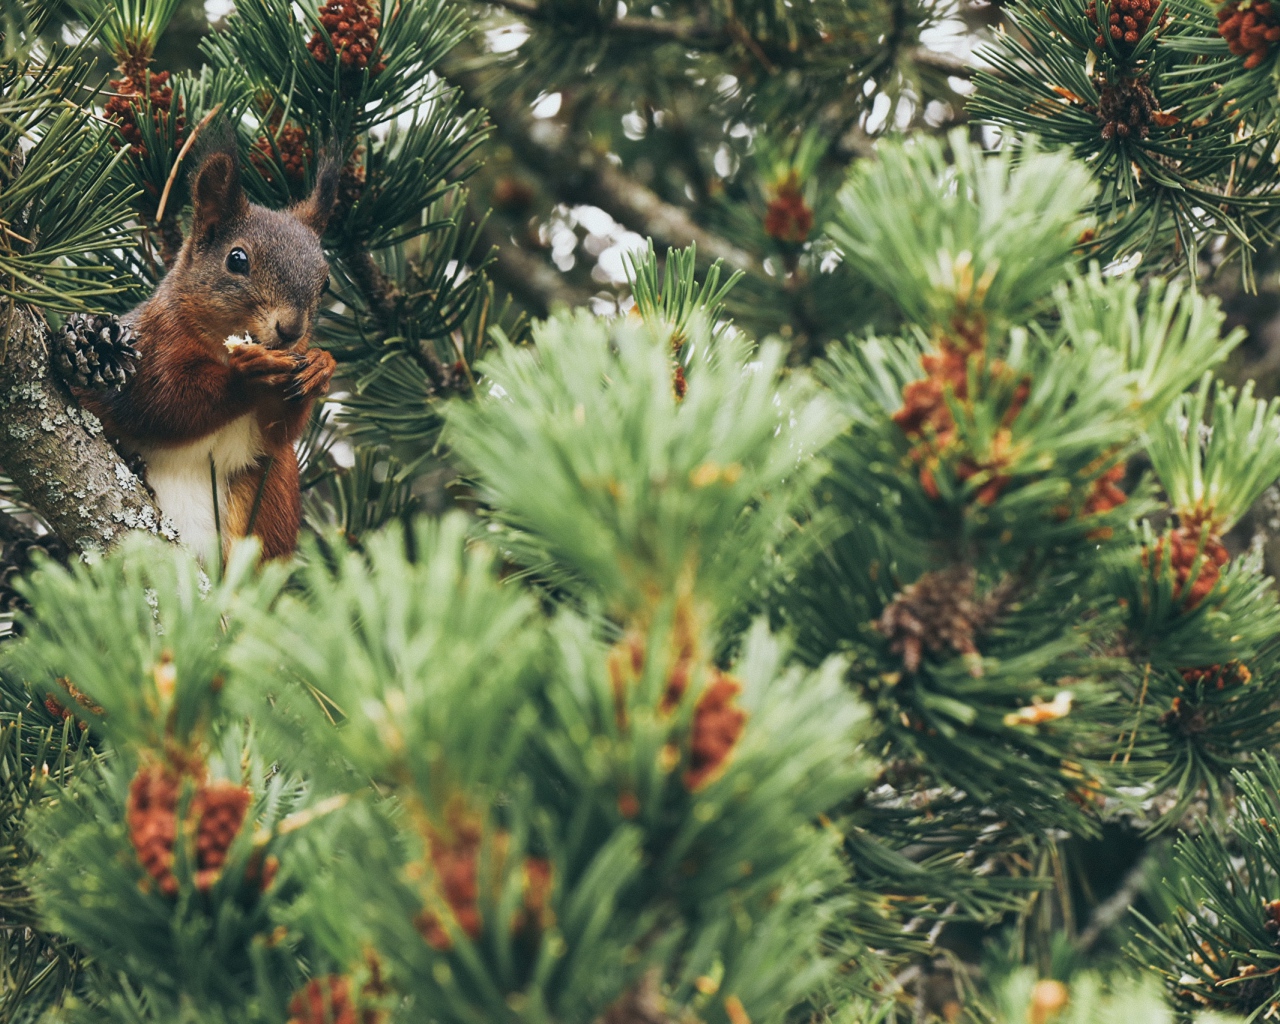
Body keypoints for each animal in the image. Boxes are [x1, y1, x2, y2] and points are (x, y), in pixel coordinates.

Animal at [72, 147, 337, 560]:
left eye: (325, 282)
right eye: (237, 259)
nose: (292, 330)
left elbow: (278, 431)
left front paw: (320, 368)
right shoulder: (151, 348)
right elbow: (164, 403)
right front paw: (246, 375)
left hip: (269, 493)